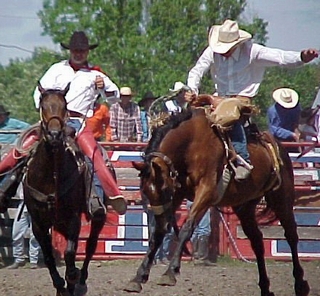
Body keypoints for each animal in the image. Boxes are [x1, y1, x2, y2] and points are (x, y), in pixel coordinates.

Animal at [23, 84, 105, 296]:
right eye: (43, 105)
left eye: (64, 105)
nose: (54, 135)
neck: (50, 175)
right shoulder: (38, 223)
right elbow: (48, 256)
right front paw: (61, 286)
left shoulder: (73, 218)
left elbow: (69, 253)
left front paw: (72, 278)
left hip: (97, 216)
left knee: (91, 246)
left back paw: (81, 281)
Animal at [125, 107, 310, 296]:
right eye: (145, 190)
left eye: (163, 189)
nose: (156, 212)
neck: (190, 144)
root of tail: (279, 147)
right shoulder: (177, 193)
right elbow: (158, 233)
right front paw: (138, 278)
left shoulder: (206, 192)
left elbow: (186, 228)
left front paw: (170, 272)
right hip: (244, 206)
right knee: (257, 241)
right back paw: (265, 287)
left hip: (282, 199)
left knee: (291, 235)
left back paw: (300, 284)